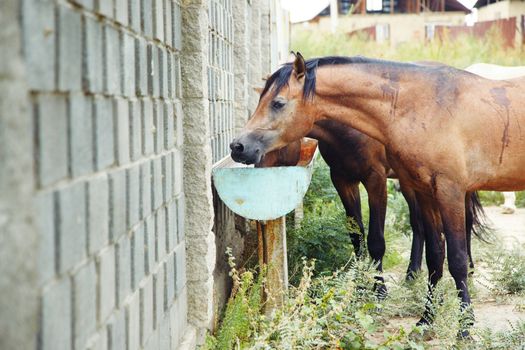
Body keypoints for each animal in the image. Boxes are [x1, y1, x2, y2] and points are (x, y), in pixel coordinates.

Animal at [230, 54, 524, 336]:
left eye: (277, 103)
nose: (238, 147)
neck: (426, 107)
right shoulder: (410, 189)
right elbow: (430, 255)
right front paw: (425, 320)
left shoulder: (429, 187)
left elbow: (451, 258)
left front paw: (464, 327)